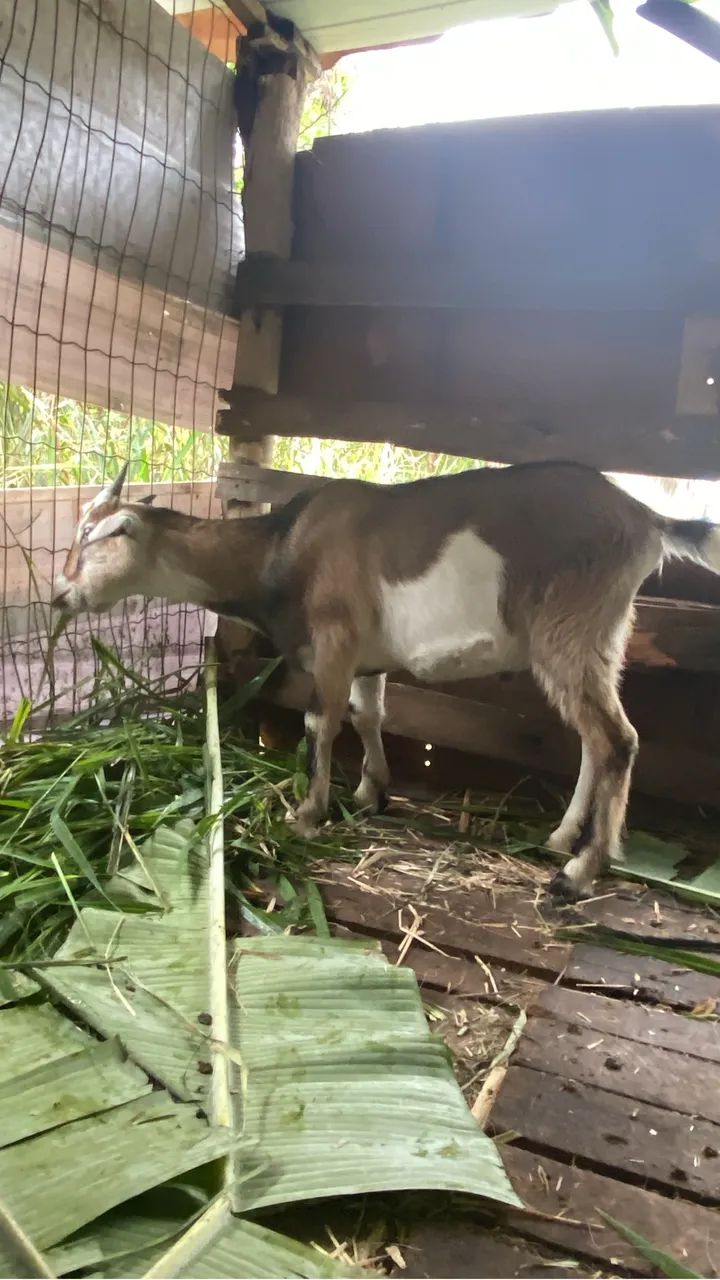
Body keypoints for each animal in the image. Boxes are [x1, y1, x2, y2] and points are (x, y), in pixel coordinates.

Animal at [52, 459, 720, 900]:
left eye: (92, 537)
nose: (61, 594)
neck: (279, 548)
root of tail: (647, 518)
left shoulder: (334, 637)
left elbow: (321, 720)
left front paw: (308, 813)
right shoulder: (367, 658)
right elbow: (369, 713)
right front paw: (372, 792)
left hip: (570, 628)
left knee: (617, 739)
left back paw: (579, 872)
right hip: (599, 636)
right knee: (593, 740)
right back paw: (561, 839)